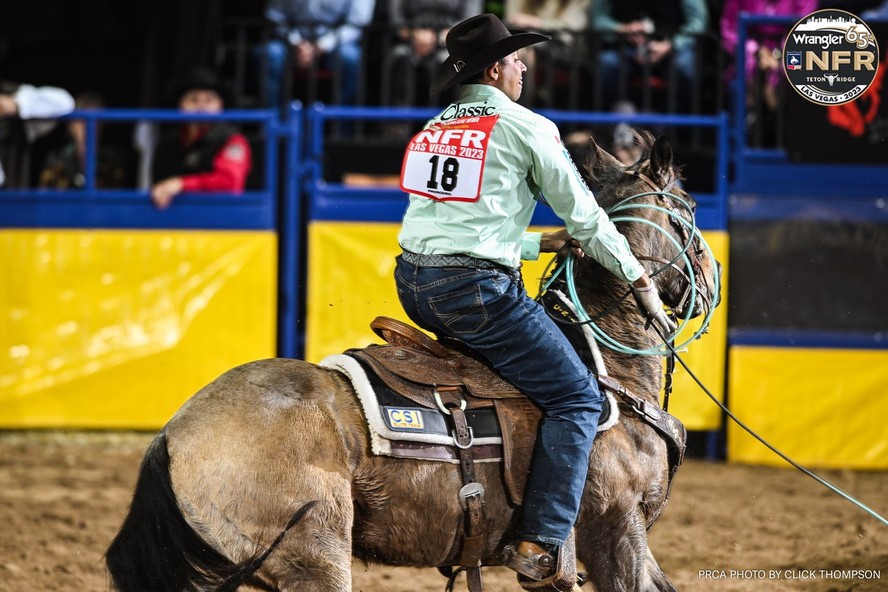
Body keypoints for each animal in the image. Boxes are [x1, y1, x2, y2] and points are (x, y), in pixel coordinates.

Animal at [107, 134, 720, 592]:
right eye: (689, 208)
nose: (712, 282)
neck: (607, 369)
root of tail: (172, 435)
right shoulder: (613, 531)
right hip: (314, 559)